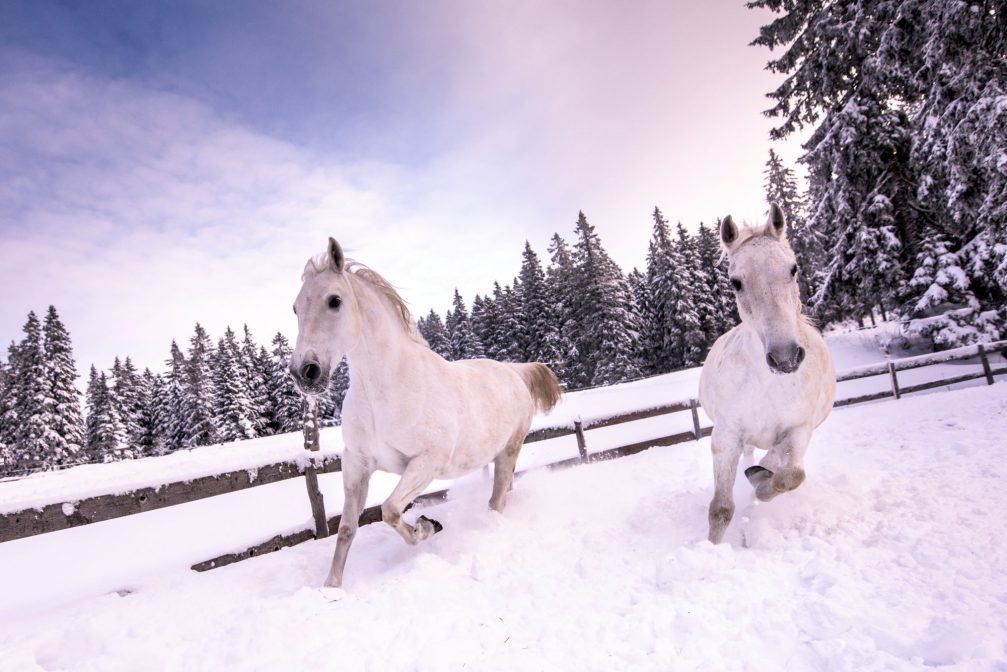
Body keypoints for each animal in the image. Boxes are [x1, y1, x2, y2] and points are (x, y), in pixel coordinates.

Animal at [288, 238, 563, 584]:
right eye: (296, 308)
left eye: (334, 300)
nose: (304, 372)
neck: (385, 391)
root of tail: (514, 371)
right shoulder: (356, 464)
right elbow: (347, 528)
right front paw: (331, 587)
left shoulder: (426, 462)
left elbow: (390, 509)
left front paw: (427, 527)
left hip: (510, 450)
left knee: (497, 500)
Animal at [700, 206, 833, 548]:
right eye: (736, 282)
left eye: (793, 268)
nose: (786, 357)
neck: (769, 385)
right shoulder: (726, 436)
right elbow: (721, 508)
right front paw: (711, 550)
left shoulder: (800, 430)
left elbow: (791, 477)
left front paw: (761, 485)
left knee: (776, 459)